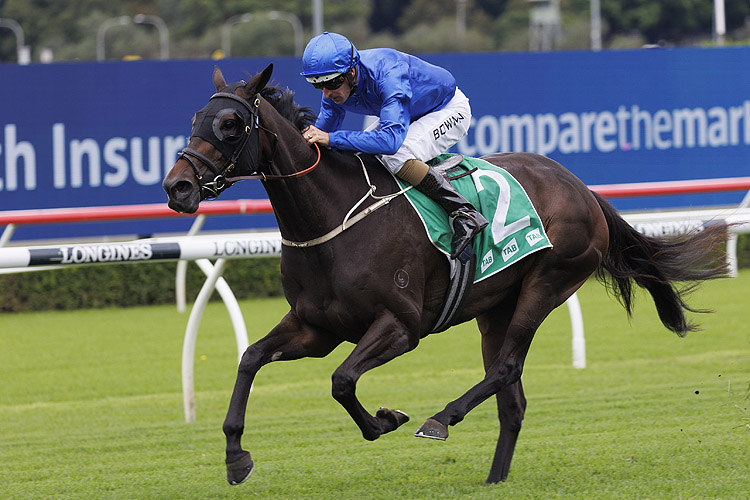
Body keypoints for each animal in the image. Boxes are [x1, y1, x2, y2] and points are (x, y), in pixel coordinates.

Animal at [163, 64, 728, 486]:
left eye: (231, 124)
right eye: (195, 117)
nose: (178, 187)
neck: (334, 218)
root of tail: (581, 188)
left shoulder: (400, 326)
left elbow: (342, 381)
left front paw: (388, 420)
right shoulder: (315, 328)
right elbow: (250, 358)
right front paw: (236, 457)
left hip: (548, 282)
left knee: (505, 369)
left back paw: (440, 419)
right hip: (496, 306)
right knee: (512, 398)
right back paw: (494, 479)